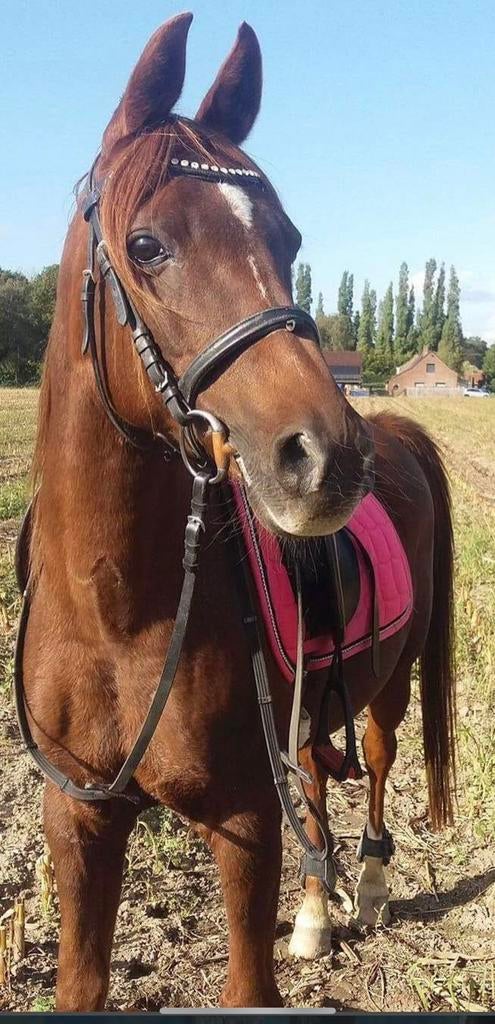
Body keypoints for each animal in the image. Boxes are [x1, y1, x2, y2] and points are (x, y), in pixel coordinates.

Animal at [17, 13, 456, 1009]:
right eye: (146, 245)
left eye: (287, 239)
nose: (329, 458)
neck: (116, 612)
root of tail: (397, 430)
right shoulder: (79, 823)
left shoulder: (244, 826)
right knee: (323, 775)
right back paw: (316, 910)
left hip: (392, 682)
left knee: (376, 760)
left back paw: (367, 883)